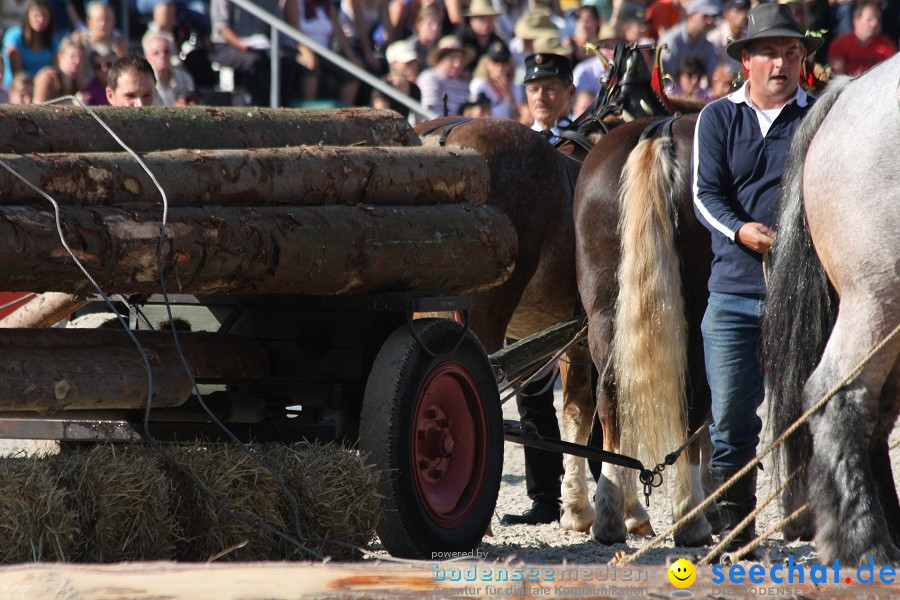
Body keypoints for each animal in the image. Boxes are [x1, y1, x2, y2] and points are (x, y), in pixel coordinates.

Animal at [568, 115, 716, 548]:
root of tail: (657, 133)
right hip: (697, 311)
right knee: (692, 401)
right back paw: (691, 516)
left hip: (603, 310)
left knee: (611, 394)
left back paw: (608, 514)